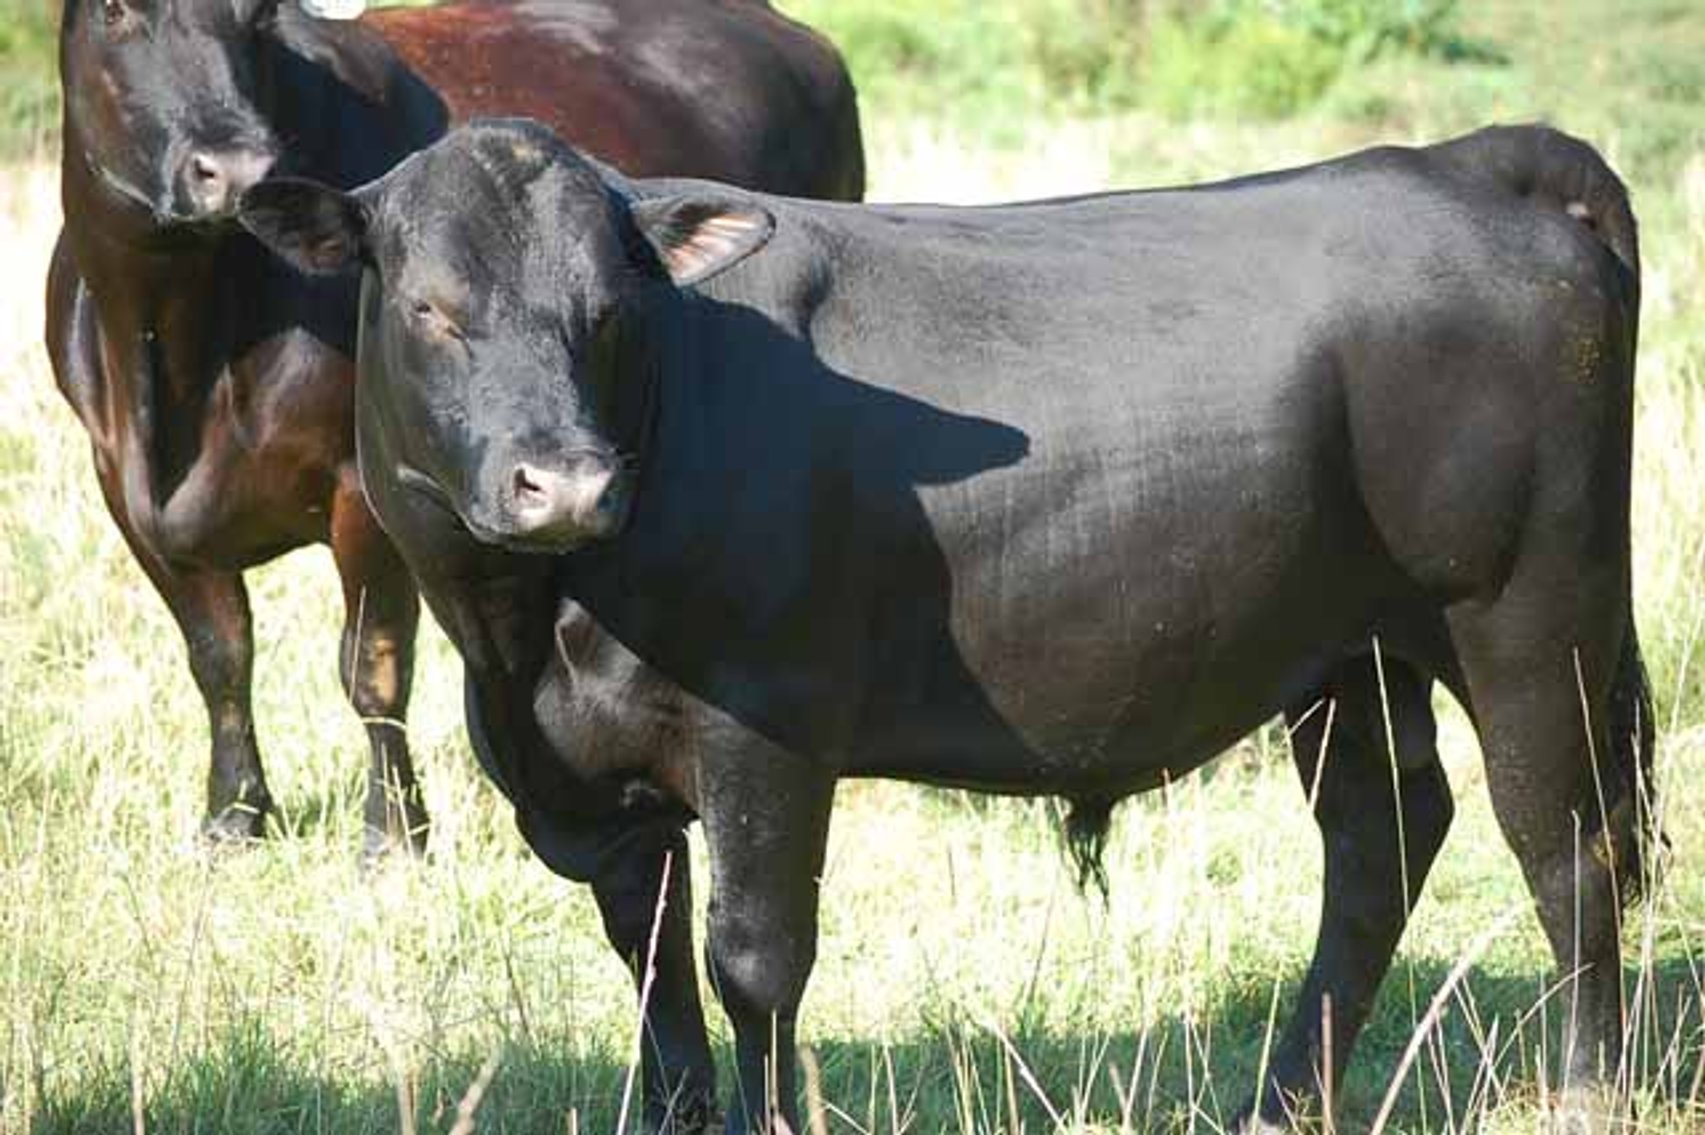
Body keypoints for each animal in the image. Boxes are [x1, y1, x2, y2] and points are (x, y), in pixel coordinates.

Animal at [47, 0, 863, 861]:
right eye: (115, 12)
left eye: (261, 17)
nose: (236, 169)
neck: (179, 360)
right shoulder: (125, 493)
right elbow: (219, 657)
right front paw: (233, 816)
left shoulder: (365, 490)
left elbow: (371, 666)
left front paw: (393, 833)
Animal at [239, 120, 1653, 1133]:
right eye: (430, 306)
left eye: (608, 308)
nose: (569, 481)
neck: (529, 637)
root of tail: (1464, 162)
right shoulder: (594, 781)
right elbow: (652, 969)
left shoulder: (767, 734)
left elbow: (752, 960)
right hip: (1344, 651)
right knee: (1380, 838)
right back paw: (1281, 1100)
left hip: (1528, 611)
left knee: (1568, 842)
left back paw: (1586, 1090)